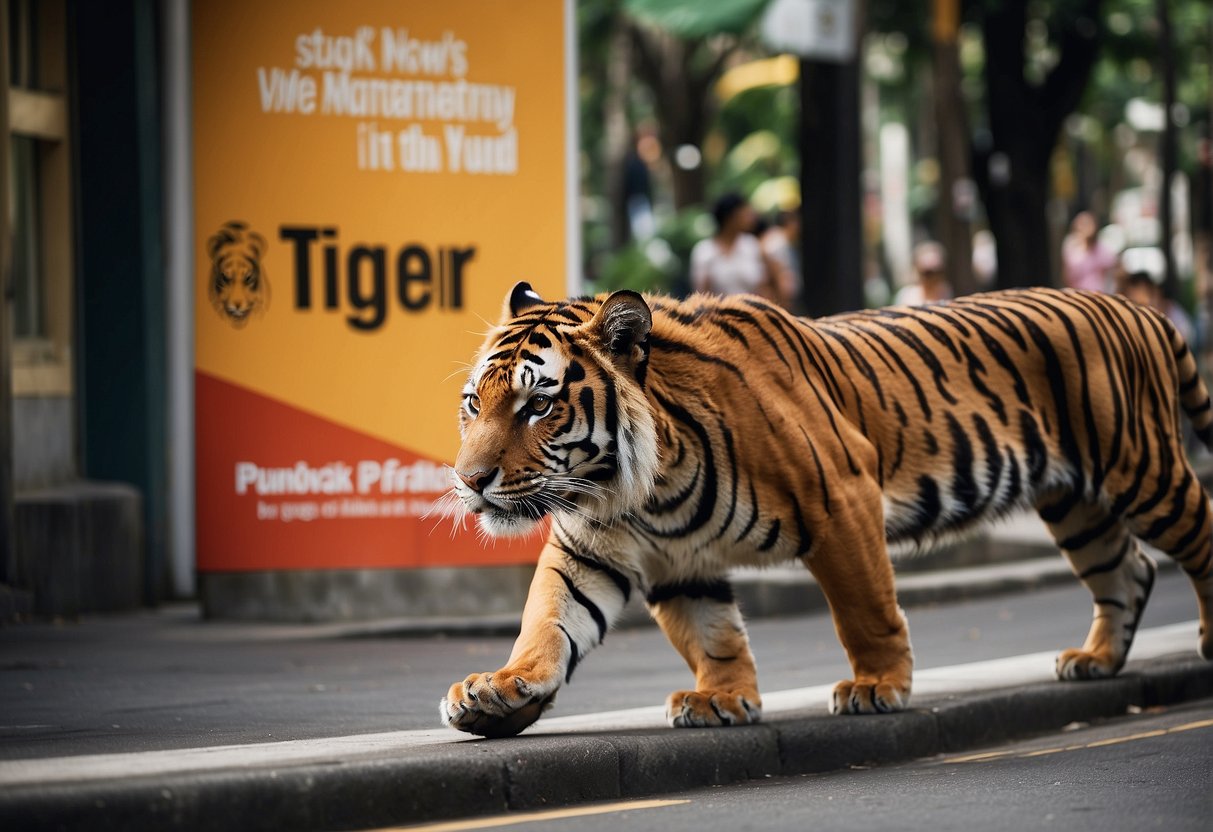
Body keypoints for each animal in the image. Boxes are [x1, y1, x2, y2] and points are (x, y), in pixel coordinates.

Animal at [440, 283, 1213, 738]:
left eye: (537, 405)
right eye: (474, 403)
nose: (471, 480)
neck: (645, 487)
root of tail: (1135, 305)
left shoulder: (842, 498)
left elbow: (863, 607)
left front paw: (878, 686)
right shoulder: (612, 551)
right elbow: (570, 623)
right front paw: (499, 692)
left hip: (1141, 469)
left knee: (1197, 537)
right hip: (1075, 501)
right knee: (1128, 571)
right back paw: (1094, 660)